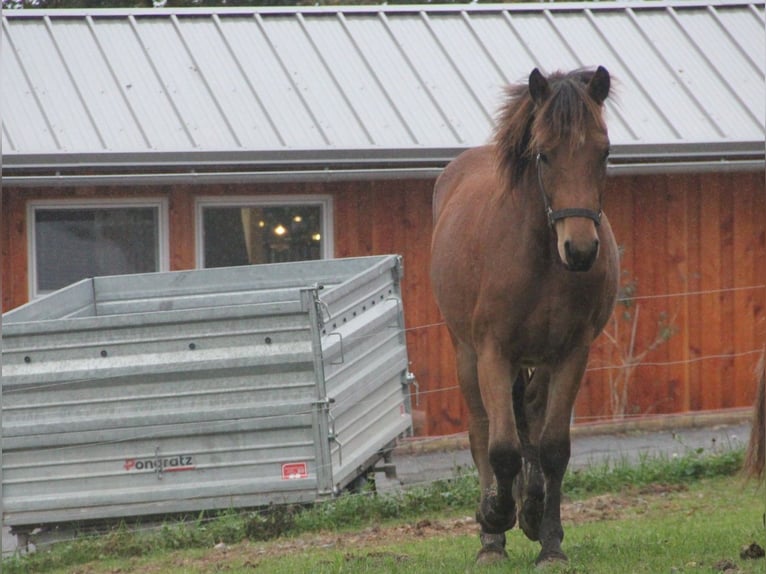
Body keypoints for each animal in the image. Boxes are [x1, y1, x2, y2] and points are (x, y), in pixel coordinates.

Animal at [432, 65, 624, 564]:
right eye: (544, 154)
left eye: (604, 151)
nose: (581, 249)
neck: (541, 257)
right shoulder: (493, 353)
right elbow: (501, 449)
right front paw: (495, 516)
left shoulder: (572, 353)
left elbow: (552, 447)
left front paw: (549, 538)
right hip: (466, 354)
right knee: (482, 432)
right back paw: (491, 539)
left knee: (533, 419)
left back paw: (532, 513)